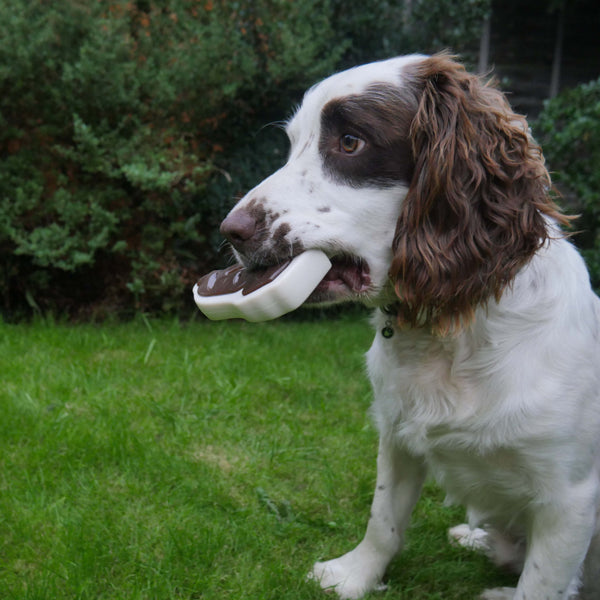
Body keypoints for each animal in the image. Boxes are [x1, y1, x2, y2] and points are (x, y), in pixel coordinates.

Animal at [218, 52, 600, 600]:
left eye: (350, 142)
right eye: (293, 145)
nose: (230, 232)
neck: (453, 330)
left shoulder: (569, 498)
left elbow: (542, 583)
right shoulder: (397, 435)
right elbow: (384, 521)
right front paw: (353, 577)